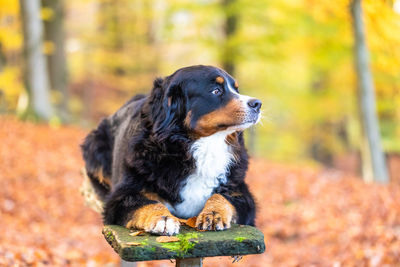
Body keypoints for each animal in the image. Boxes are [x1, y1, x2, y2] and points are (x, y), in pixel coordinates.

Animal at [81, 65, 262, 237]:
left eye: (236, 90)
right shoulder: (121, 197)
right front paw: (163, 218)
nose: (257, 104)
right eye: (216, 90)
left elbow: (222, 197)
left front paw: (213, 213)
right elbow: (149, 203)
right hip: (95, 144)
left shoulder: (240, 191)